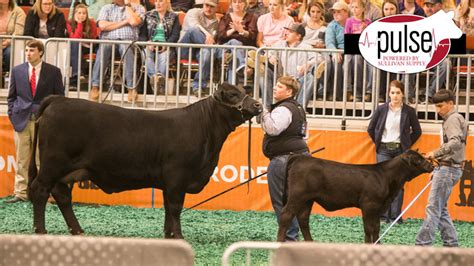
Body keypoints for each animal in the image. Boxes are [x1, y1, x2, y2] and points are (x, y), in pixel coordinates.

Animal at [27, 83, 262, 239]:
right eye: (233, 94)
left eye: (245, 91)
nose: (258, 105)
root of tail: (59, 99)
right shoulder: (177, 176)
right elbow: (175, 206)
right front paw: (178, 236)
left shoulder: (169, 181)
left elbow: (168, 207)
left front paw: (168, 234)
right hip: (52, 165)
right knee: (40, 190)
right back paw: (41, 230)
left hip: (65, 171)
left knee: (62, 195)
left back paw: (77, 230)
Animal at [278, 150, 434, 243]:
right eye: (418, 160)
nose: (431, 166)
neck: (385, 177)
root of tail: (300, 157)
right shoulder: (369, 205)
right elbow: (369, 228)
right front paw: (368, 245)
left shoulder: (378, 207)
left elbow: (376, 227)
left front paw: (377, 244)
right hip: (297, 196)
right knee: (286, 215)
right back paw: (279, 241)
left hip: (308, 199)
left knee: (303, 218)